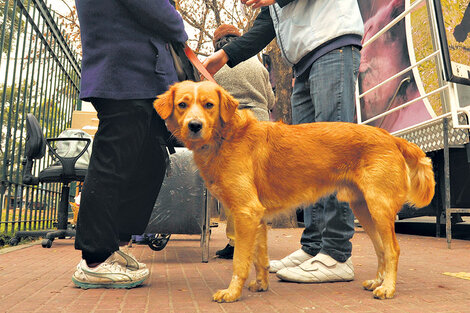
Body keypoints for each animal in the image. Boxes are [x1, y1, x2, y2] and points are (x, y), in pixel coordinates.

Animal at [153, 79, 434, 302]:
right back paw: (378, 281)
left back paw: (388, 288)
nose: (194, 125)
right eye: (182, 105)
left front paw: (232, 293)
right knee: (381, 249)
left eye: (209, 105)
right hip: (364, 210)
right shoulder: (257, 218)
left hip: (379, 208)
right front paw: (261, 285)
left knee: (393, 249)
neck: (226, 137)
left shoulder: (246, 212)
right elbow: (260, 258)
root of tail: (391, 137)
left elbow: (240, 262)